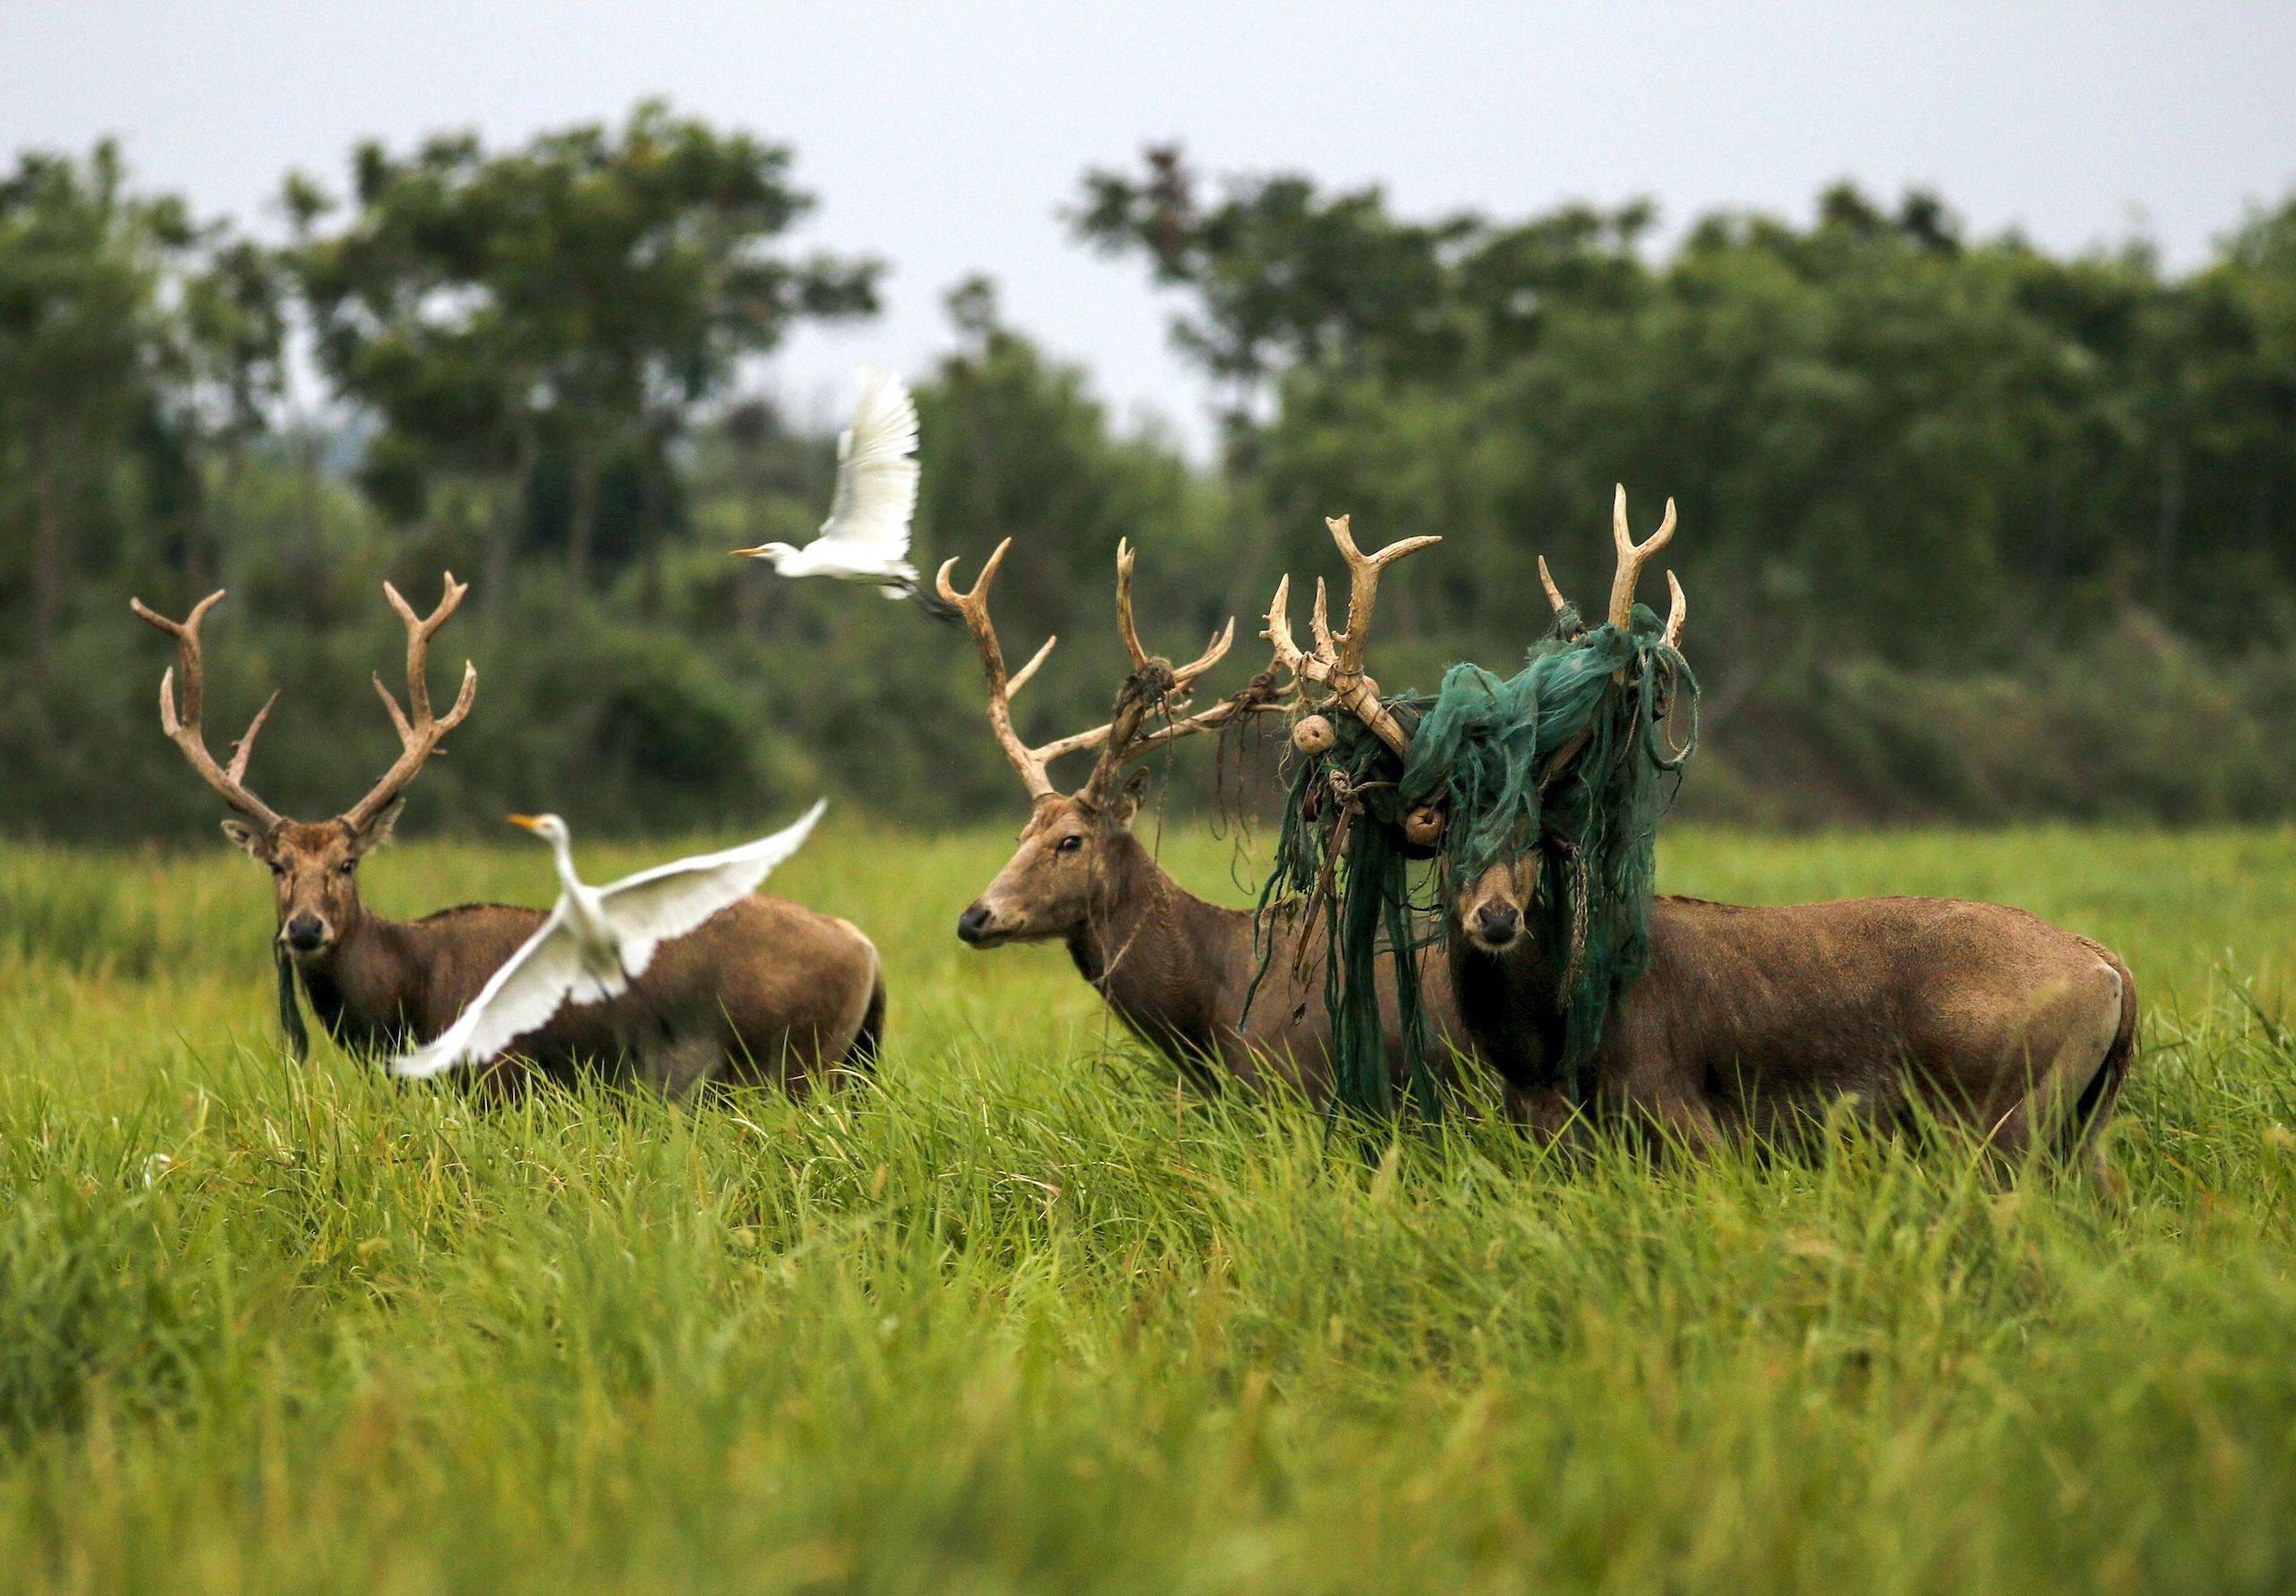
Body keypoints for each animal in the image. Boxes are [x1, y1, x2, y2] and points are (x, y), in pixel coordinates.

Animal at [132, 576, 886, 1097]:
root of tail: (867, 951)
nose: (307, 928)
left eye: (347, 863)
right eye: (277, 865)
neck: (414, 999)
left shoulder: (504, 1078)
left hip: (790, 1065)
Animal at [1294, 486, 2130, 1175]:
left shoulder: (1681, 1120)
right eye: (1450, 832)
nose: (1496, 917)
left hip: (1999, 1116)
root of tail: (2111, 972)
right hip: (2078, 1134)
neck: (1545, 1055)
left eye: (1535, 833)